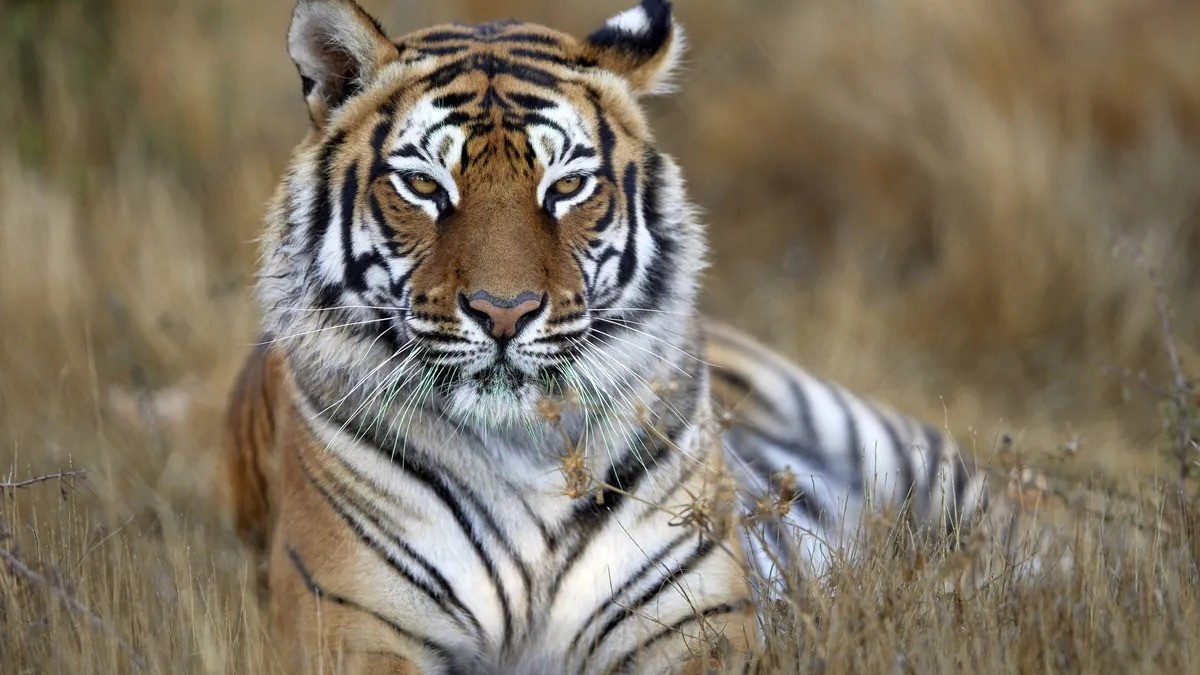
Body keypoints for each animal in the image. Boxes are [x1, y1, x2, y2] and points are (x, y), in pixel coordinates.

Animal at [222, 0, 989, 673]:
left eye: (566, 187)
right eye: (423, 185)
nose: (504, 313)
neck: (523, 454)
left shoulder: (698, 624)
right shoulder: (350, 628)